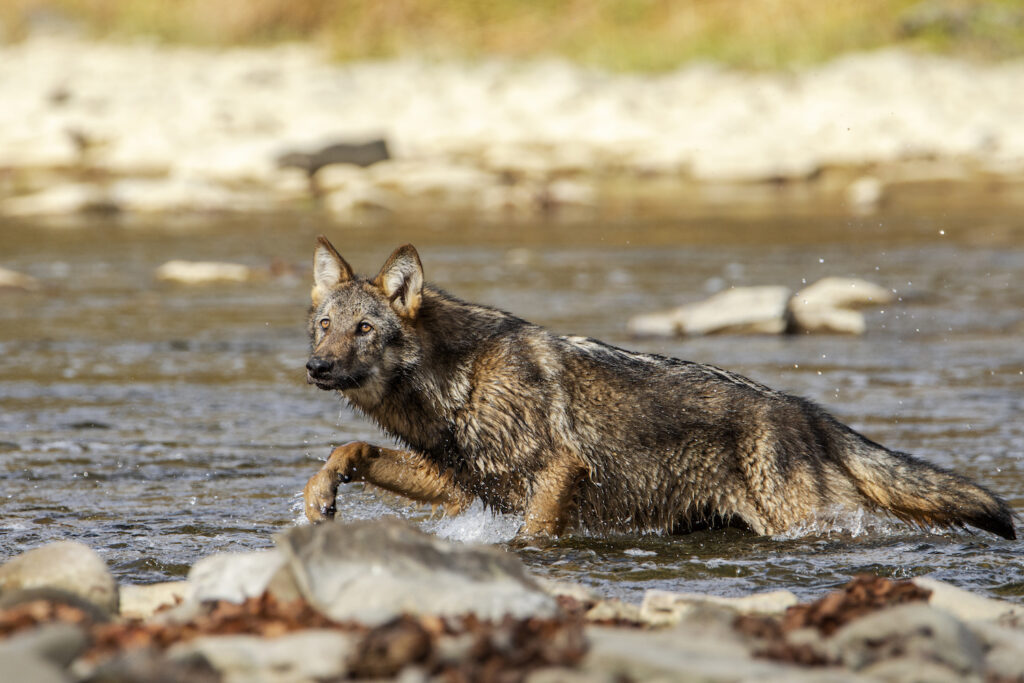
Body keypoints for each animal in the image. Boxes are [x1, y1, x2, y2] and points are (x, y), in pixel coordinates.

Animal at [299, 237, 1011, 540]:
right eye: (325, 326)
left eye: (365, 328)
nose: (316, 368)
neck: (457, 380)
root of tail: (810, 415)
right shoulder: (457, 482)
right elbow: (346, 450)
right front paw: (317, 498)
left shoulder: (558, 473)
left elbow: (533, 535)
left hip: (799, 521)